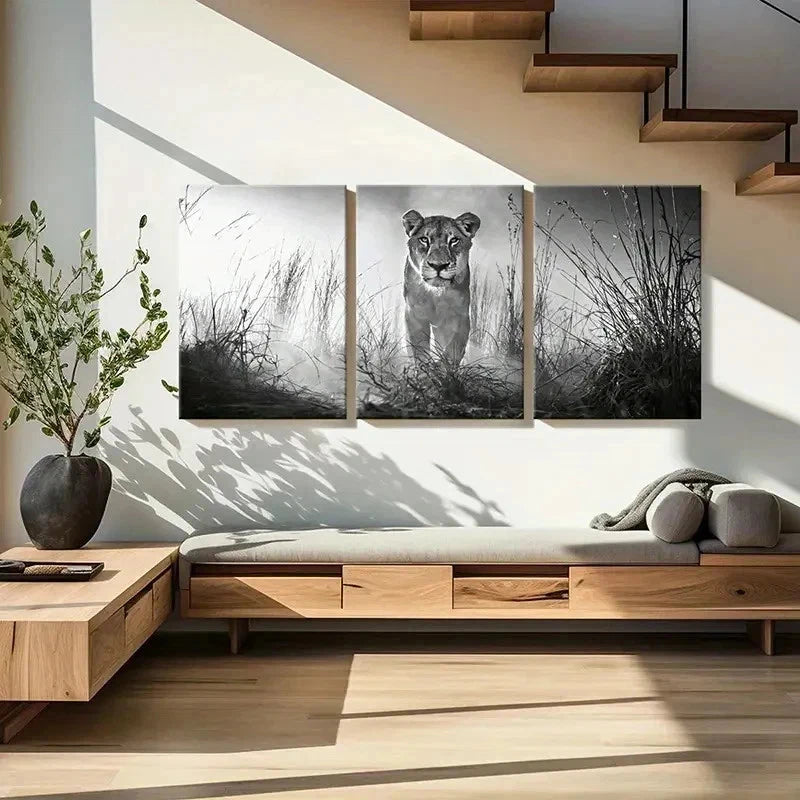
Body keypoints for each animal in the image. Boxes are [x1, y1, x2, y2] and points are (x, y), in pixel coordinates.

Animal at [401, 209, 481, 367]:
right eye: (424, 239)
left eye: (454, 240)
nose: (438, 265)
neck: (436, 294)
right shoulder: (414, 314)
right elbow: (418, 348)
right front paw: (425, 369)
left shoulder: (459, 315)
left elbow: (453, 348)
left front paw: (441, 367)